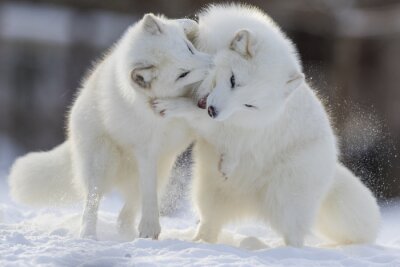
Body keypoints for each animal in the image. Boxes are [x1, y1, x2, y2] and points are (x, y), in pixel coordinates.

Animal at [7, 13, 211, 241]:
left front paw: (188, 25)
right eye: (182, 74)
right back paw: (89, 235)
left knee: (125, 213)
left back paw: (127, 233)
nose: (213, 64)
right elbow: (149, 196)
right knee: (93, 202)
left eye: (190, 49)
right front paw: (150, 228)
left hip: (163, 167)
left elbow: (184, 23)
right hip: (103, 164)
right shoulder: (147, 152)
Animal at [153, 3, 382, 247]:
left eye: (249, 105)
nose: (214, 110)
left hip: (286, 199)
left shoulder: (225, 126)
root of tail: (332, 170)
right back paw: (200, 242)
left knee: (295, 239)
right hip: (207, 190)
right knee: (210, 223)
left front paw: (172, 106)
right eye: (233, 80)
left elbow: (196, 115)